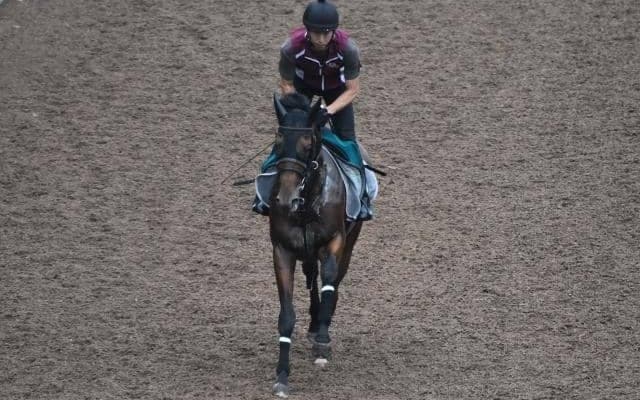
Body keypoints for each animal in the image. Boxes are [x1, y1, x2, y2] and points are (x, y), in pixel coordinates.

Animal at [268, 93, 363, 397]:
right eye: (277, 142)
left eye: (307, 145)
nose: (286, 199)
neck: (307, 203)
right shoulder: (282, 250)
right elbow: (286, 315)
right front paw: (282, 375)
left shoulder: (334, 241)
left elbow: (330, 281)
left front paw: (322, 340)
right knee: (311, 277)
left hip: (350, 241)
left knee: (333, 279)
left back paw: (323, 325)